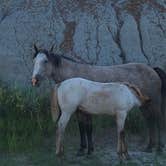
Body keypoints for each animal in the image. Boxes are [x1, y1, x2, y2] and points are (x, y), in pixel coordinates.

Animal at [31, 44, 166, 155]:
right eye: (34, 61)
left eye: (45, 61)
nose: (34, 80)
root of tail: (152, 69)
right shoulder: (80, 110)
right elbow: (82, 128)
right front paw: (83, 149)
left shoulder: (84, 111)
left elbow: (88, 128)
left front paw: (88, 150)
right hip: (145, 105)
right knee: (150, 121)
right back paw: (149, 147)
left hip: (155, 103)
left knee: (159, 121)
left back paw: (159, 148)